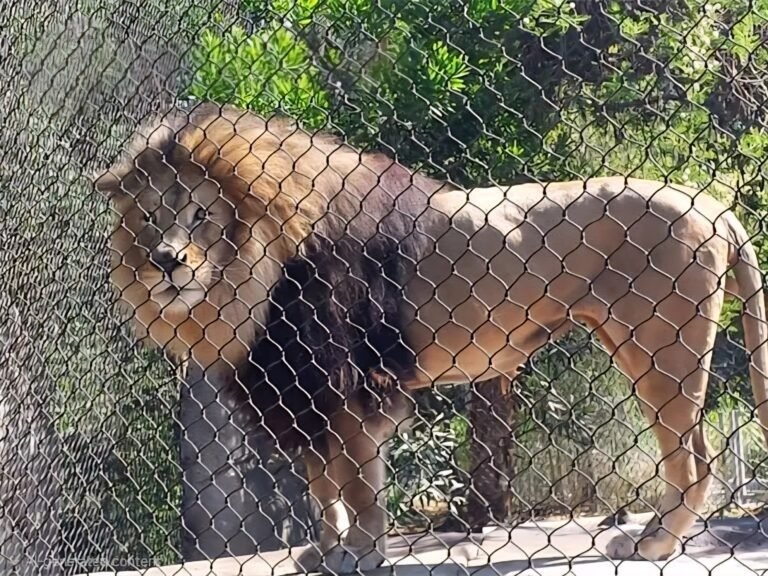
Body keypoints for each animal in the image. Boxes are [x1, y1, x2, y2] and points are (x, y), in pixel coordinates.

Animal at [94, 102, 768, 572]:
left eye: (201, 215)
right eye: (150, 217)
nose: (166, 261)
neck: (246, 276)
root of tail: (711, 205)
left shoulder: (349, 382)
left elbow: (358, 484)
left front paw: (362, 553)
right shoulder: (306, 391)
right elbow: (321, 487)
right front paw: (323, 550)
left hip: (659, 348)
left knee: (695, 460)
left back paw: (653, 544)